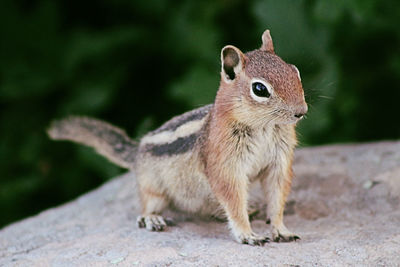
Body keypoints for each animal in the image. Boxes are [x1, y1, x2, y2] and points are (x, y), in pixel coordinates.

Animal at [48, 29, 308, 247]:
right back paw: (152, 219)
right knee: (147, 205)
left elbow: (277, 197)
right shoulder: (225, 165)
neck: (264, 127)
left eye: (294, 70)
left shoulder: (279, 162)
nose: (301, 111)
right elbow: (233, 202)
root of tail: (138, 150)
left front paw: (281, 229)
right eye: (260, 89)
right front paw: (248, 234)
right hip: (152, 187)